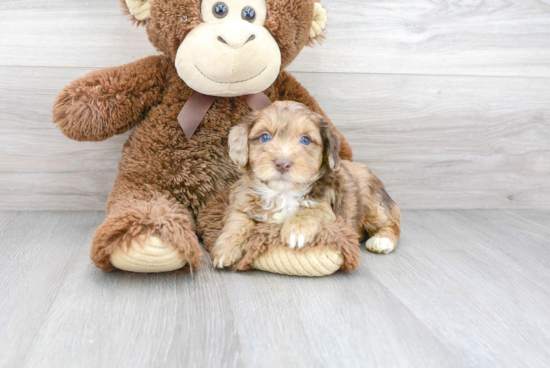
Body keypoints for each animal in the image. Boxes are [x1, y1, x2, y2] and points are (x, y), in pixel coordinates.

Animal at [211, 100, 402, 268]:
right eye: (265, 137)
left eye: (305, 140)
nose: (282, 163)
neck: (284, 193)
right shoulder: (241, 203)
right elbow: (237, 222)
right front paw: (225, 248)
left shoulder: (327, 208)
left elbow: (311, 210)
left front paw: (296, 230)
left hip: (374, 206)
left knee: (392, 223)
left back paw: (382, 240)